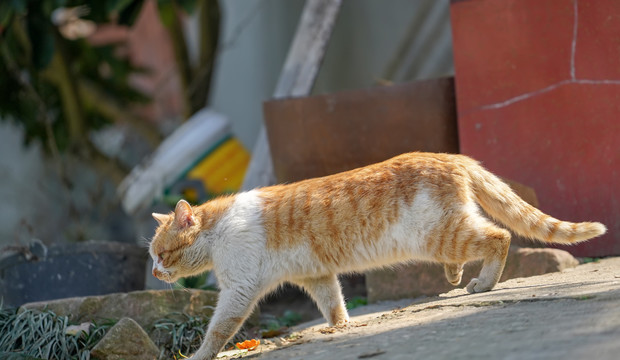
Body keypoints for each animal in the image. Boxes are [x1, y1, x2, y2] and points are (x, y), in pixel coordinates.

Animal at [150, 152, 604, 360]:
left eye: (161, 254)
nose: (153, 273)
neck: (218, 231)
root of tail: (450, 155)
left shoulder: (239, 289)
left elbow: (218, 329)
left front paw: (199, 355)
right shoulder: (315, 275)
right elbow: (333, 302)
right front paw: (341, 327)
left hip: (437, 234)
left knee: (500, 237)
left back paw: (484, 283)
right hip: (449, 229)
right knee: (480, 241)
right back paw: (455, 275)